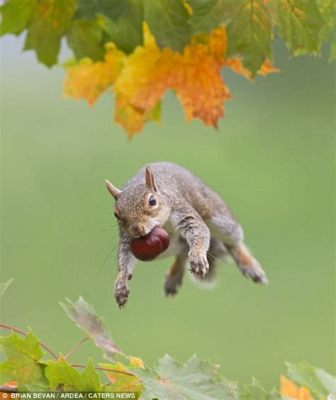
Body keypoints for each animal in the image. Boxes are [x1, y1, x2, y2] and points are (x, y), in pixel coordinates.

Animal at [105, 161, 268, 308]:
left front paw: (197, 257)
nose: (136, 229)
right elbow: (124, 259)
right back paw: (174, 276)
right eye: (116, 214)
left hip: (220, 219)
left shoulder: (182, 210)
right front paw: (120, 284)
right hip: (167, 248)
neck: (162, 223)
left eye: (152, 201)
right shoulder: (127, 239)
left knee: (233, 243)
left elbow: (198, 231)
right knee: (182, 253)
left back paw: (249, 265)